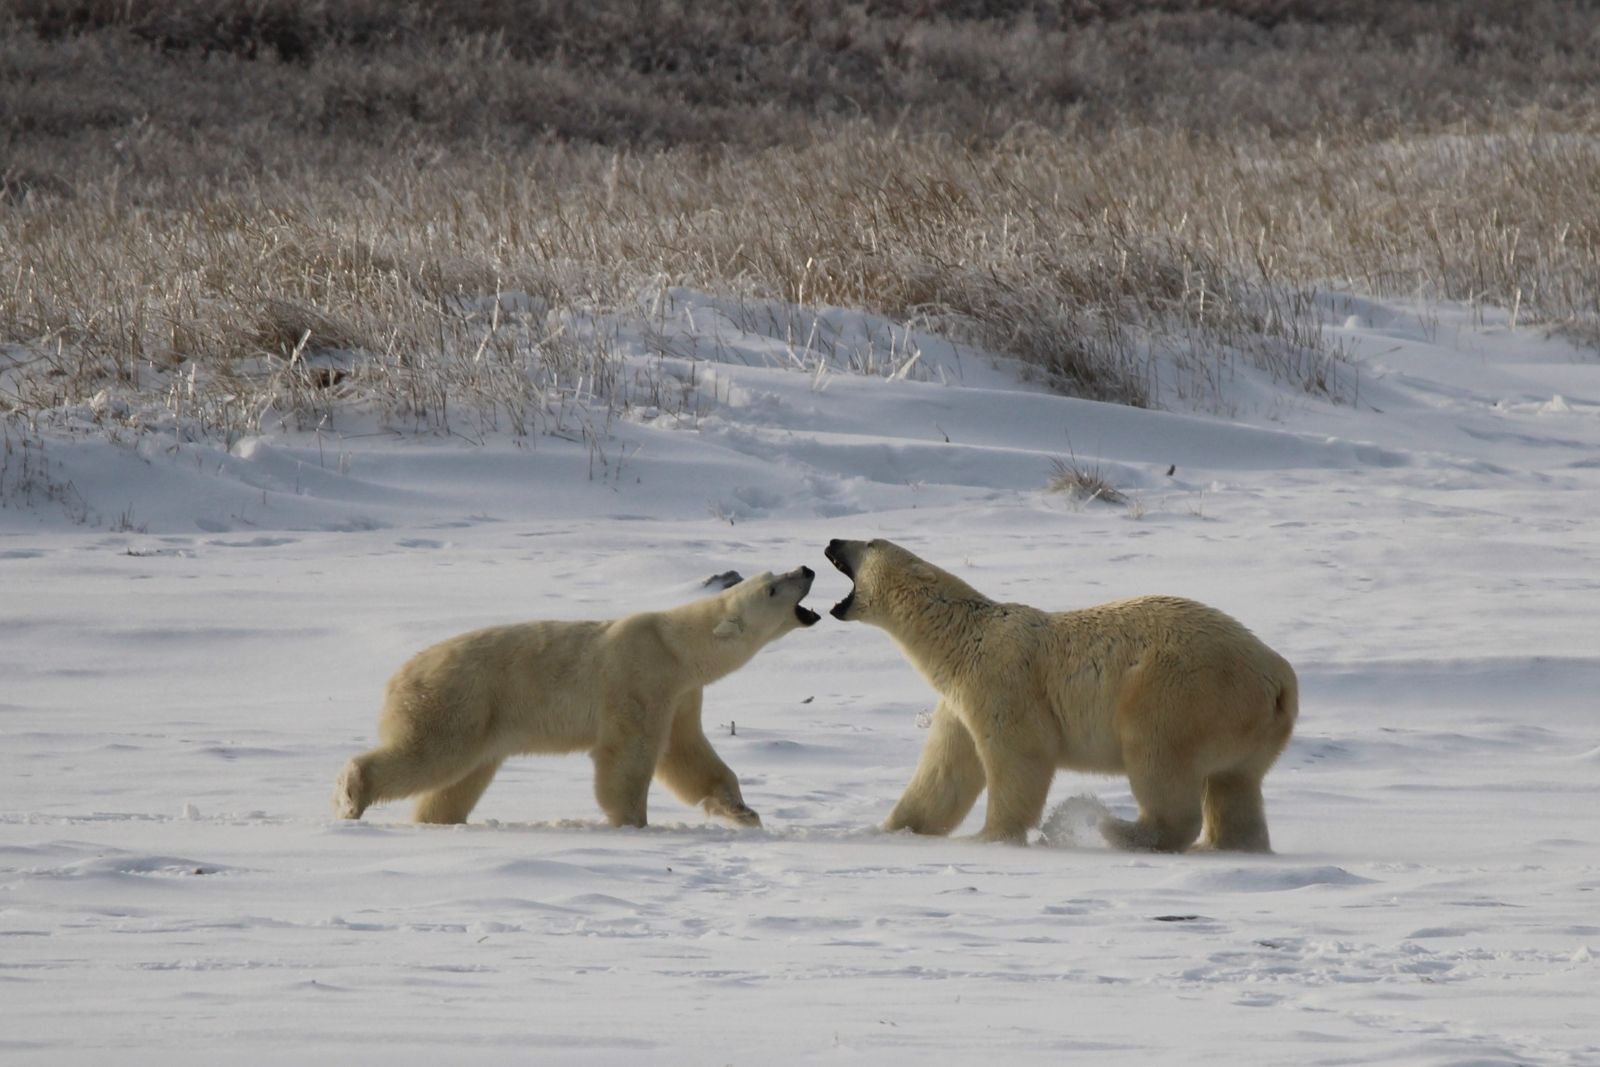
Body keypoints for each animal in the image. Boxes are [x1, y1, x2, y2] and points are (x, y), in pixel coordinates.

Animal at [333, 566, 820, 828]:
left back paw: (436, 819)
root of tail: (398, 676)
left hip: (482, 721)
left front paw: (742, 811)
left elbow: (686, 754)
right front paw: (632, 821)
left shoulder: (682, 693)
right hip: (458, 700)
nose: (807, 569)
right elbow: (628, 754)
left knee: (458, 779)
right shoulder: (639, 677)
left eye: (775, 574)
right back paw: (351, 797)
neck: (677, 645)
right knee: (431, 754)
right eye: (772, 587)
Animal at [823, 539, 1297, 852]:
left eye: (870, 542)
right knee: (1236, 783)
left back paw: (1121, 830)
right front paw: (890, 829)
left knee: (1158, 759)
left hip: (1177, 691)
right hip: (1249, 726)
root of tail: (1278, 677)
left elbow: (1020, 755)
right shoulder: (958, 701)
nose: (832, 540)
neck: (962, 637)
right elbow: (944, 772)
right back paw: (1232, 845)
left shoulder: (1000, 678)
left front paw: (990, 837)